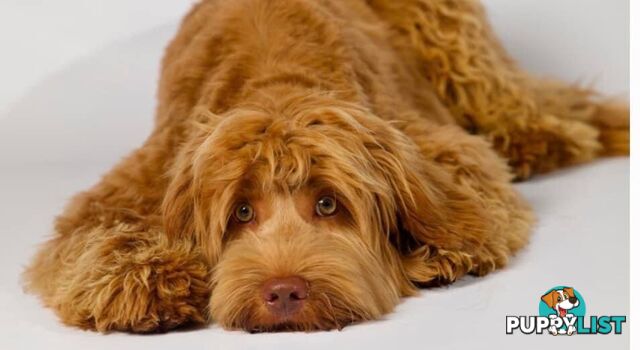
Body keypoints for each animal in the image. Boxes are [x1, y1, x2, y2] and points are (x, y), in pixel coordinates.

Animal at [21, 0, 632, 334]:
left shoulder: (442, 149)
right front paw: (143, 283)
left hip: (459, 49)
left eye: (327, 203)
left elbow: (470, 206)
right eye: (242, 212)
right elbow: (95, 235)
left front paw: (436, 251)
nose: (284, 293)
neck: (277, 83)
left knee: (553, 110)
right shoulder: (142, 180)